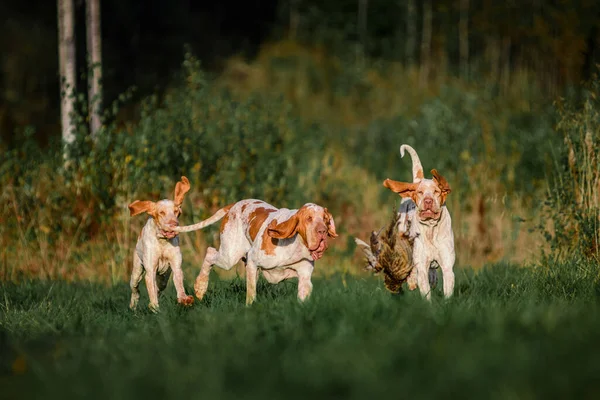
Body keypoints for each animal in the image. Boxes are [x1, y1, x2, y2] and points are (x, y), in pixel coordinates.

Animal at [171, 198, 338, 304]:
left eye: (325, 219)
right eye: (309, 219)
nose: (322, 231)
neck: (297, 245)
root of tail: (235, 204)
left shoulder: (304, 277)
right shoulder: (252, 261)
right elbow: (251, 293)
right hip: (228, 257)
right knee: (210, 252)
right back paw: (200, 287)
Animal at [384, 145, 454, 300]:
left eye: (436, 191)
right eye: (420, 192)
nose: (428, 201)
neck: (430, 228)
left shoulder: (447, 266)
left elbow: (447, 289)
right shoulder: (421, 266)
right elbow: (424, 290)